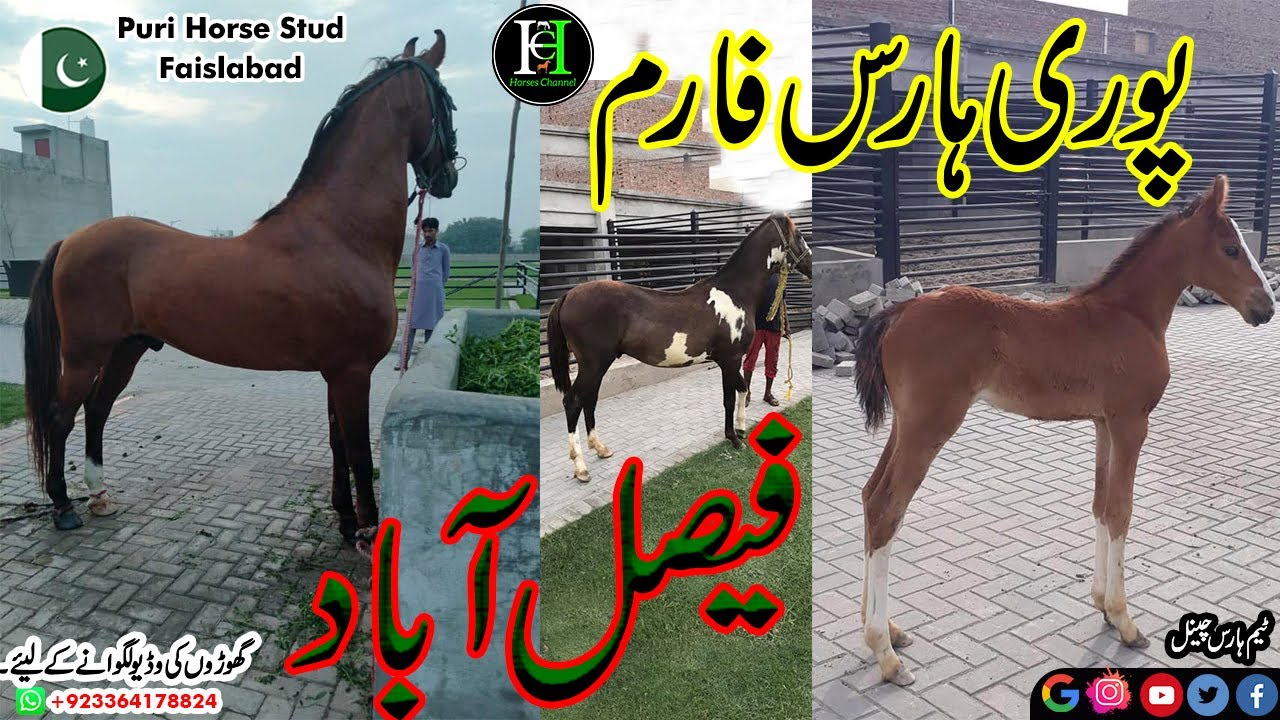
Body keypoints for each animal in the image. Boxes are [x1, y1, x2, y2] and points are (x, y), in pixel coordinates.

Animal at [22, 33, 460, 552]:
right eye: (447, 101)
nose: (450, 176)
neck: (340, 234)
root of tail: (71, 239)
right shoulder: (354, 373)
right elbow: (357, 452)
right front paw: (368, 533)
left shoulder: (336, 373)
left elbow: (337, 444)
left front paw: (346, 520)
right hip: (84, 353)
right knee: (61, 416)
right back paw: (63, 506)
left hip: (126, 349)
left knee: (97, 408)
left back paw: (99, 495)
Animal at [546, 212, 812, 482]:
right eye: (800, 235)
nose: (811, 266)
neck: (734, 293)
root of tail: (567, 296)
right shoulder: (730, 359)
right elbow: (729, 397)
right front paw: (734, 439)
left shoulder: (729, 360)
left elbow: (742, 388)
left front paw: (740, 428)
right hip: (593, 364)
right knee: (573, 402)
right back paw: (580, 468)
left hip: (597, 366)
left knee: (589, 400)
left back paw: (600, 449)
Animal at [852, 175, 1274, 686]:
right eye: (1231, 249)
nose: (1266, 307)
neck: (1129, 316)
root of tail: (898, 312)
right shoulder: (1132, 422)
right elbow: (1122, 511)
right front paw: (1126, 622)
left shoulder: (1104, 423)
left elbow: (1101, 506)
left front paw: (1104, 607)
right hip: (930, 425)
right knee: (886, 508)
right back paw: (885, 653)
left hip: (907, 424)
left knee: (870, 496)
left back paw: (888, 630)